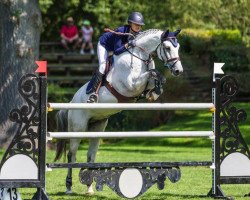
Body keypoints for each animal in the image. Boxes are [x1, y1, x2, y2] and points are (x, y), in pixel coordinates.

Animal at [54, 28, 184, 195]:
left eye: (178, 47)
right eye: (167, 47)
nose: (178, 70)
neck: (140, 56)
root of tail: (71, 103)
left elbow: (155, 78)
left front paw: (154, 92)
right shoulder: (131, 85)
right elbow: (153, 73)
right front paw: (155, 89)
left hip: (97, 127)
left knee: (90, 156)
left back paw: (89, 188)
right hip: (78, 128)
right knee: (72, 155)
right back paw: (69, 187)